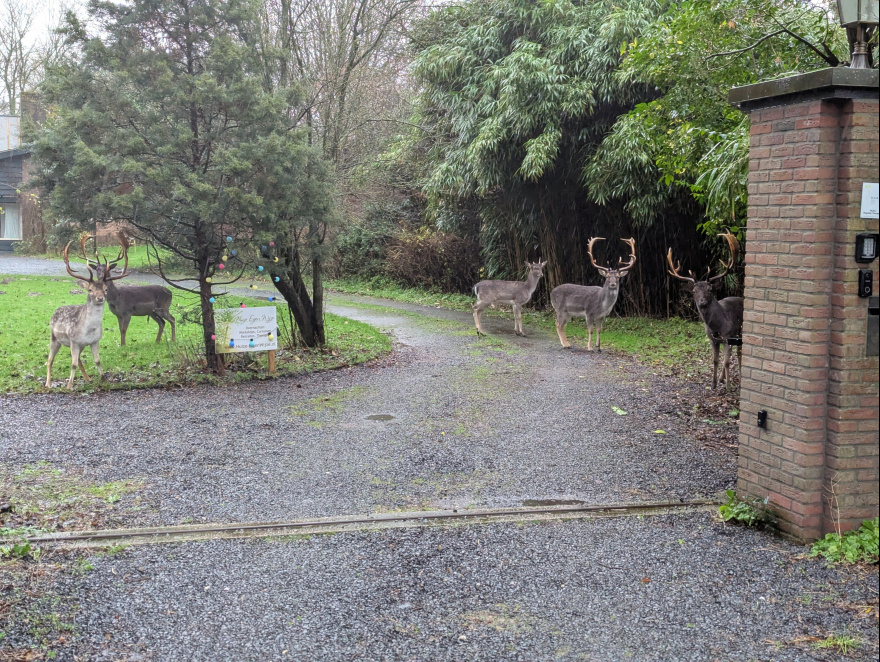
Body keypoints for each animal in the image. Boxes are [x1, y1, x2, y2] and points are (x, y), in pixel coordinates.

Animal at [46, 236, 131, 390]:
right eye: (90, 289)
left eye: (105, 289)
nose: (100, 298)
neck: (89, 329)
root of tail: (56, 310)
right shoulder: (74, 341)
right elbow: (73, 363)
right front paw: (69, 385)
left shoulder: (95, 341)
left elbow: (97, 360)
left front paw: (103, 379)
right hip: (54, 338)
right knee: (50, 360)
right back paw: (48, 383)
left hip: (80, 345)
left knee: (78, 359)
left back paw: (87, 379)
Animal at [668, 231, 744, 392]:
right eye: (694, 291)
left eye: (710, 290)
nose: (702, 302)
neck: (717, 326)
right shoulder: (712, 339)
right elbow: (715, 361)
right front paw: (714, 384)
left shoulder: (728, 336)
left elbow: (727, 362)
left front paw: (728, 387)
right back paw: (722, 378)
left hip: (739, 331)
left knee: (739, 352)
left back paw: (739, 378)